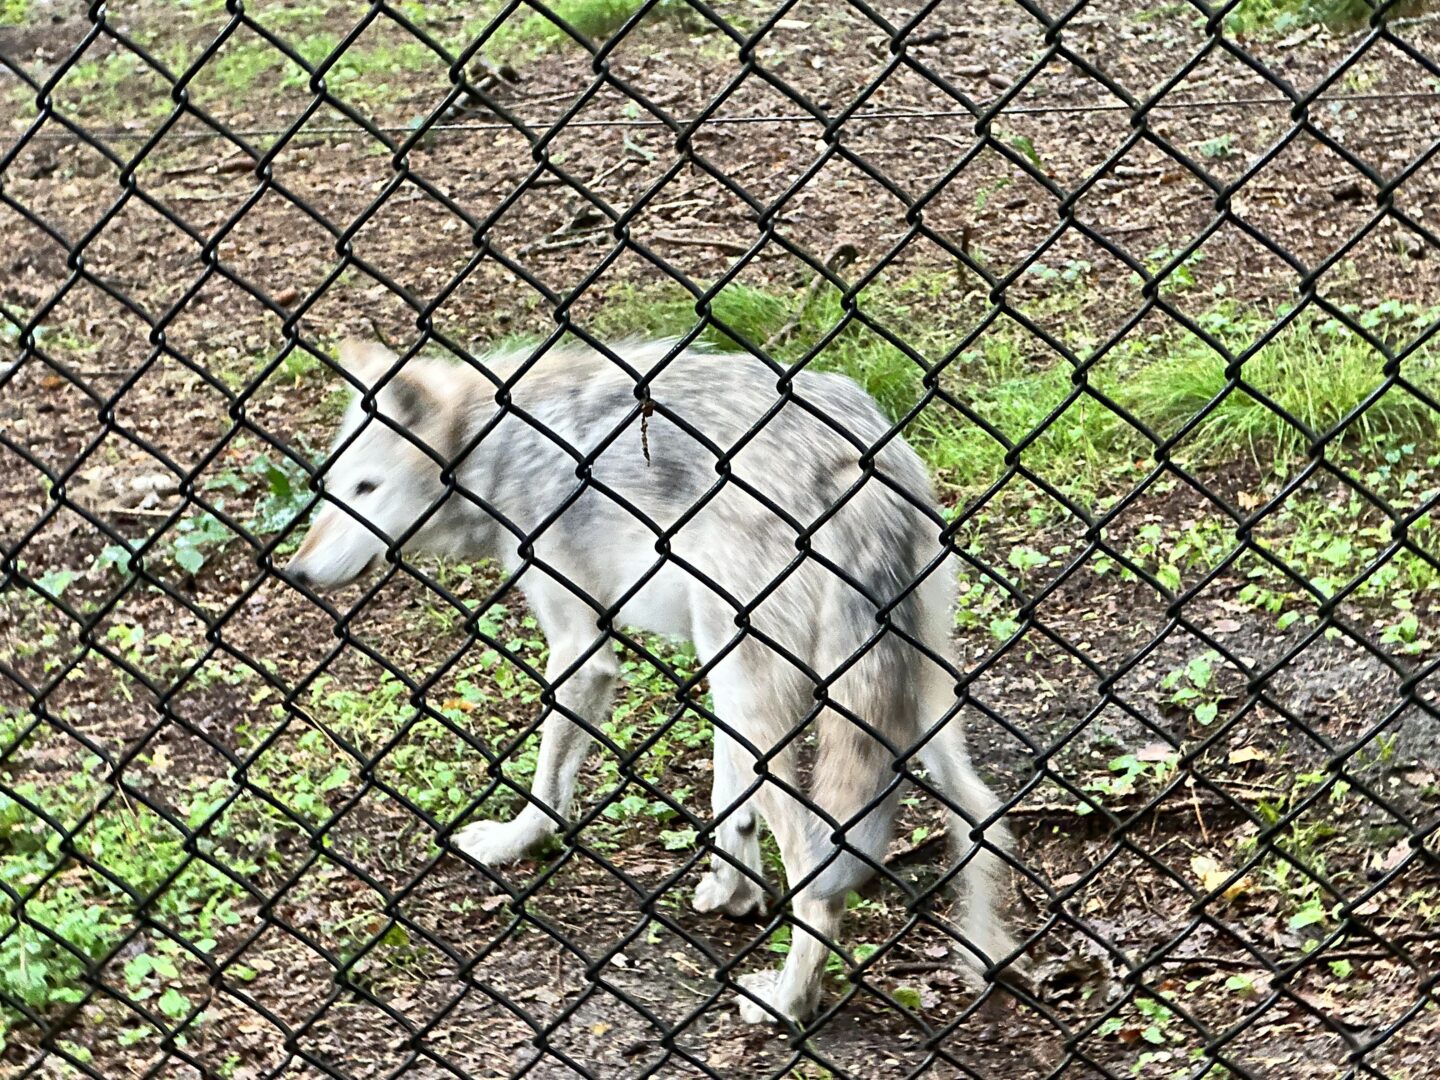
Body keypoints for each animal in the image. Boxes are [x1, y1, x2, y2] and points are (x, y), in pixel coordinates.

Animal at [283, 336, 1025, 1025]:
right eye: (330, 491)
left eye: (365, 490)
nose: (293, 572)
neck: (494, 446)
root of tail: (853, 461)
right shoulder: (714, 665)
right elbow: (728, 800)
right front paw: (733, 893)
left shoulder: (583, 649)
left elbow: (548, 782)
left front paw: (514, 843)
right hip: (890, 701)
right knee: (981, 817)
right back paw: (988, 957)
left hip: (776, 698)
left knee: (820, 874)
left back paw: (786, 1002)